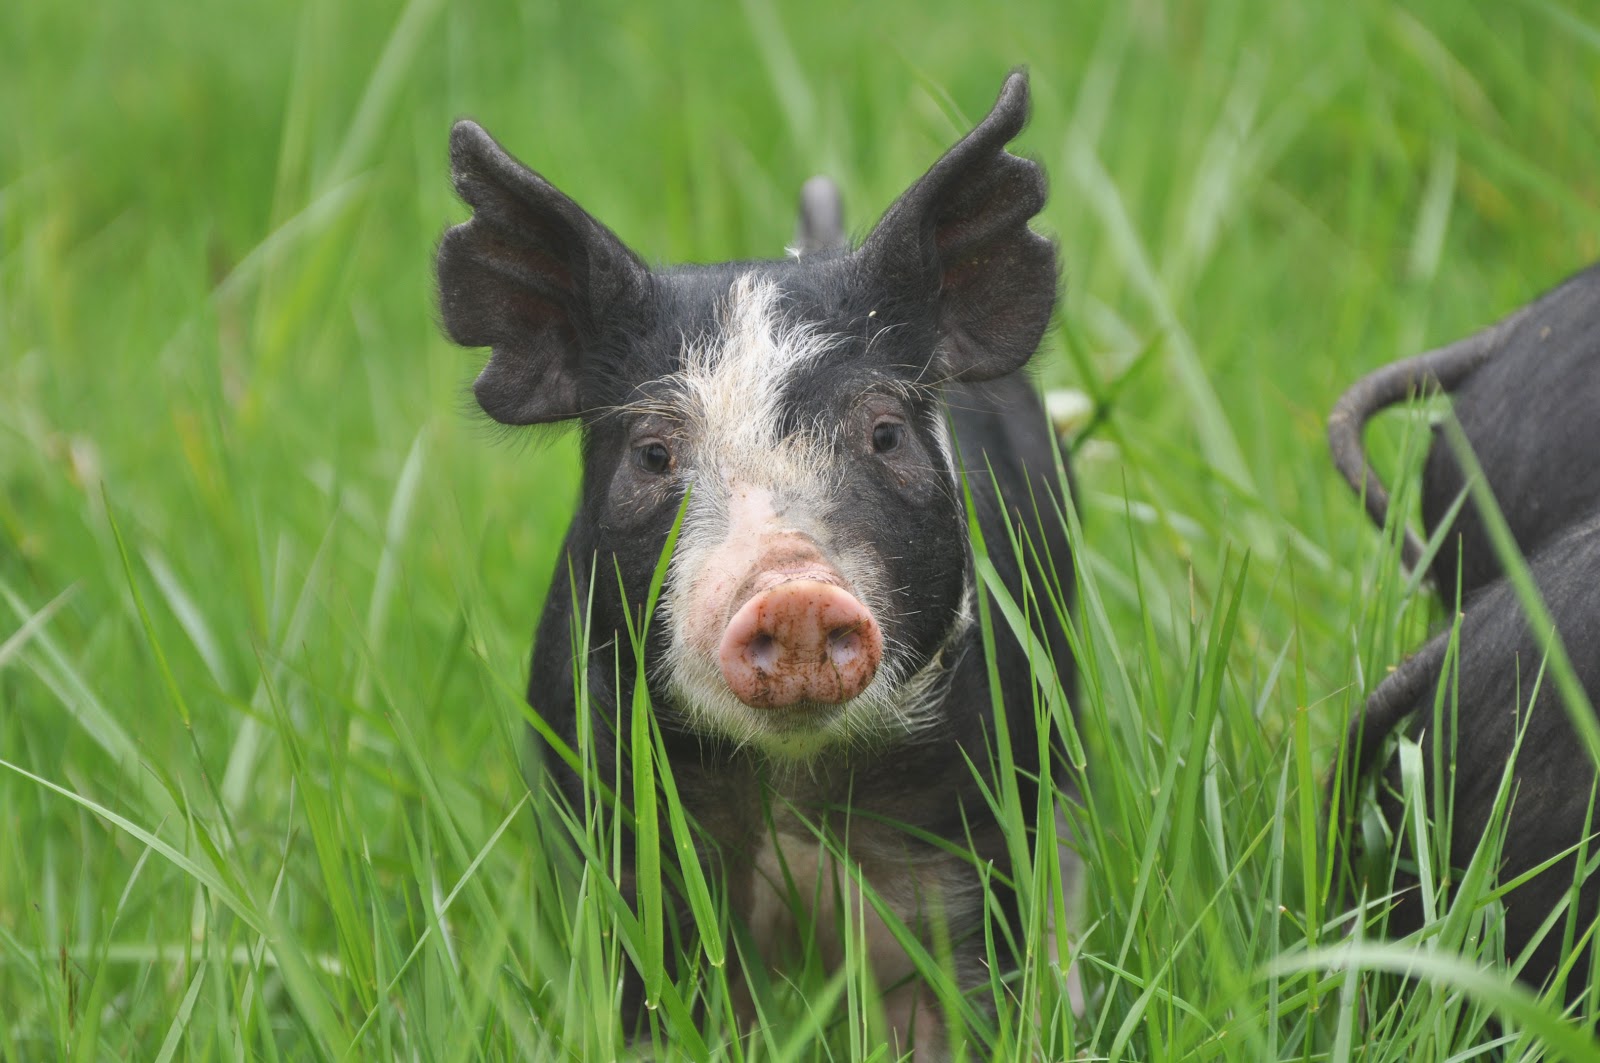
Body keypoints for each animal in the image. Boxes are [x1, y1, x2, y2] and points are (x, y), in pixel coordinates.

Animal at [437, 72, 1077, 1055]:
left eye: (885, 433)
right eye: (654, 453)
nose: (793, 589)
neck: (789, 783)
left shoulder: (972, 821)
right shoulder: (626, 835)